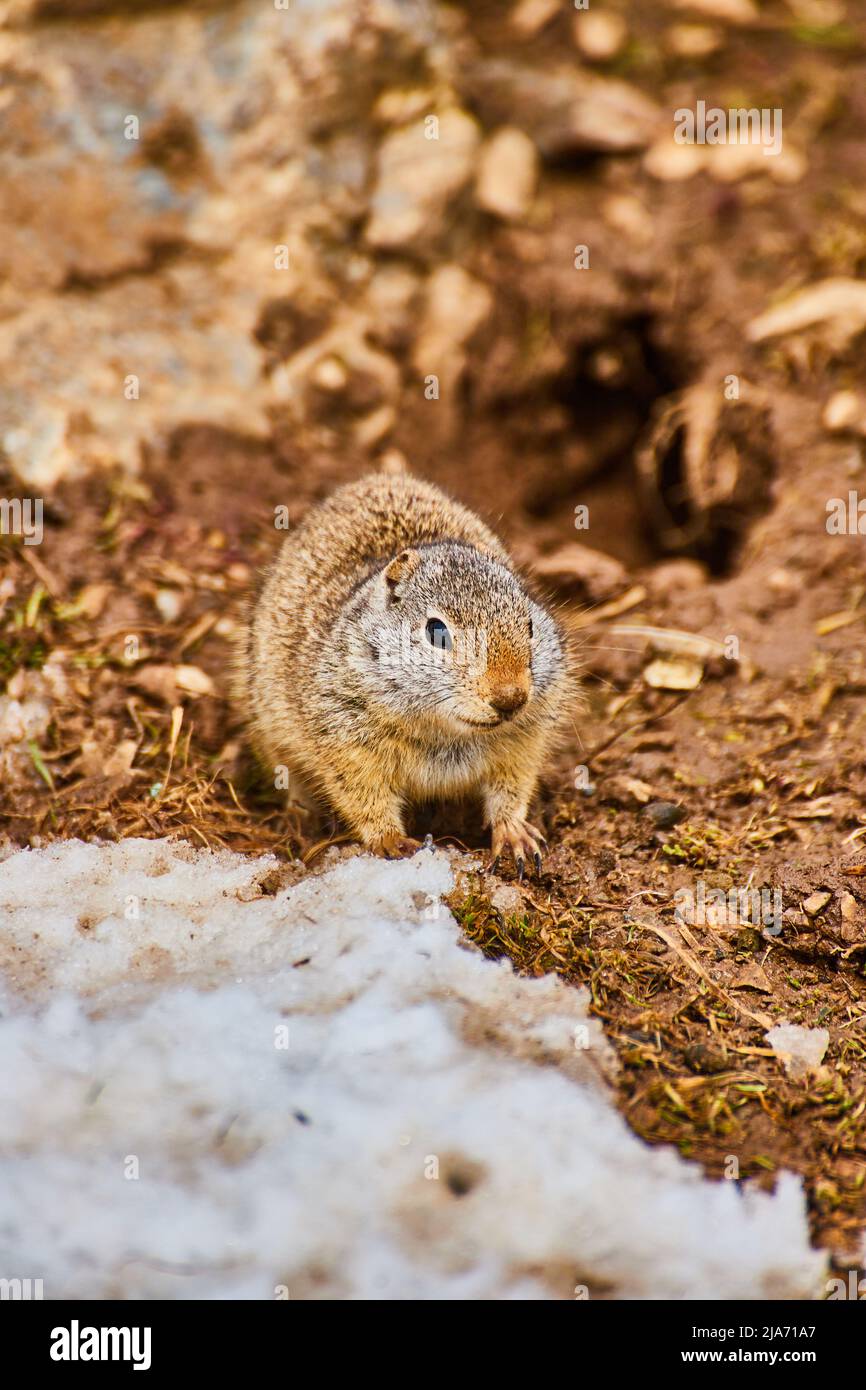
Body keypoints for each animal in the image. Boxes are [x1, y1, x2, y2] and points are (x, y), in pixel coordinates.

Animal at [239, 470, 572, 875]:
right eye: (436, 631)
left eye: (529, 624)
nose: (511, 698)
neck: (446, 734)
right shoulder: (345, 742)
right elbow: (365, 797)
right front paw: (392, 841)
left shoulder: (524, 741)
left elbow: (511, 790)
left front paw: (514, 834)